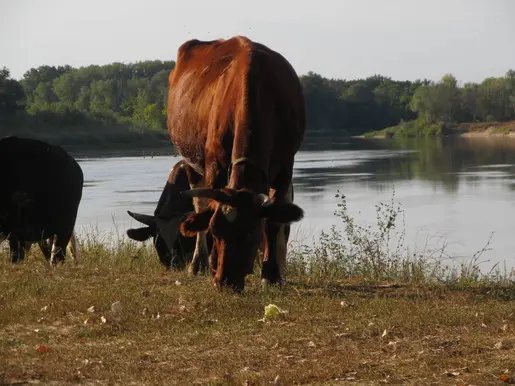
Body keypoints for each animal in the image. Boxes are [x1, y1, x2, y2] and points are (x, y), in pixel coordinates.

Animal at [166, 37, 306, 290]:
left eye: (251, 235)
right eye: (215, 231)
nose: (226, 281)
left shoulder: (284, 166)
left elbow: (274, 217)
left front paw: (270, 274)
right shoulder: (215, 165)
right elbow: (209, 207)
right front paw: (212, 266)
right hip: (190, 160)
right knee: (200, 204)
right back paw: (198, 263)